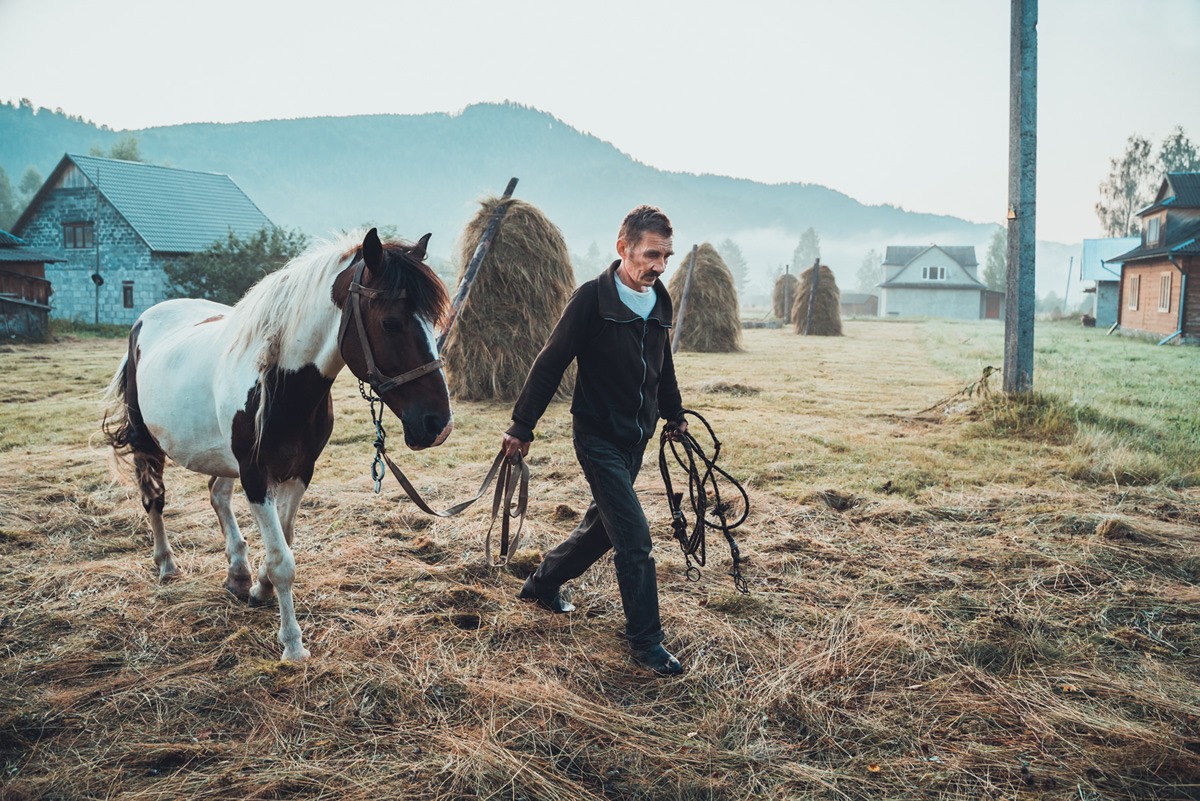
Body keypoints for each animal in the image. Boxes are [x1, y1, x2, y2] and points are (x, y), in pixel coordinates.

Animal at [100, 227, 451, 661]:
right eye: (390, 322)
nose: (438, 424)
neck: (279, 379)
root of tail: (146, 319)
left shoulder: (299, 472)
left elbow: (284, 540)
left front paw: (260, 586)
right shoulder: (255, 475)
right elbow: (283, 558)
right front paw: (293, 645)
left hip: (224, 457)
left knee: (217, 494)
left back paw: (237, 573)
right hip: (147, 442)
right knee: (154, 499)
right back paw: (166, 565)